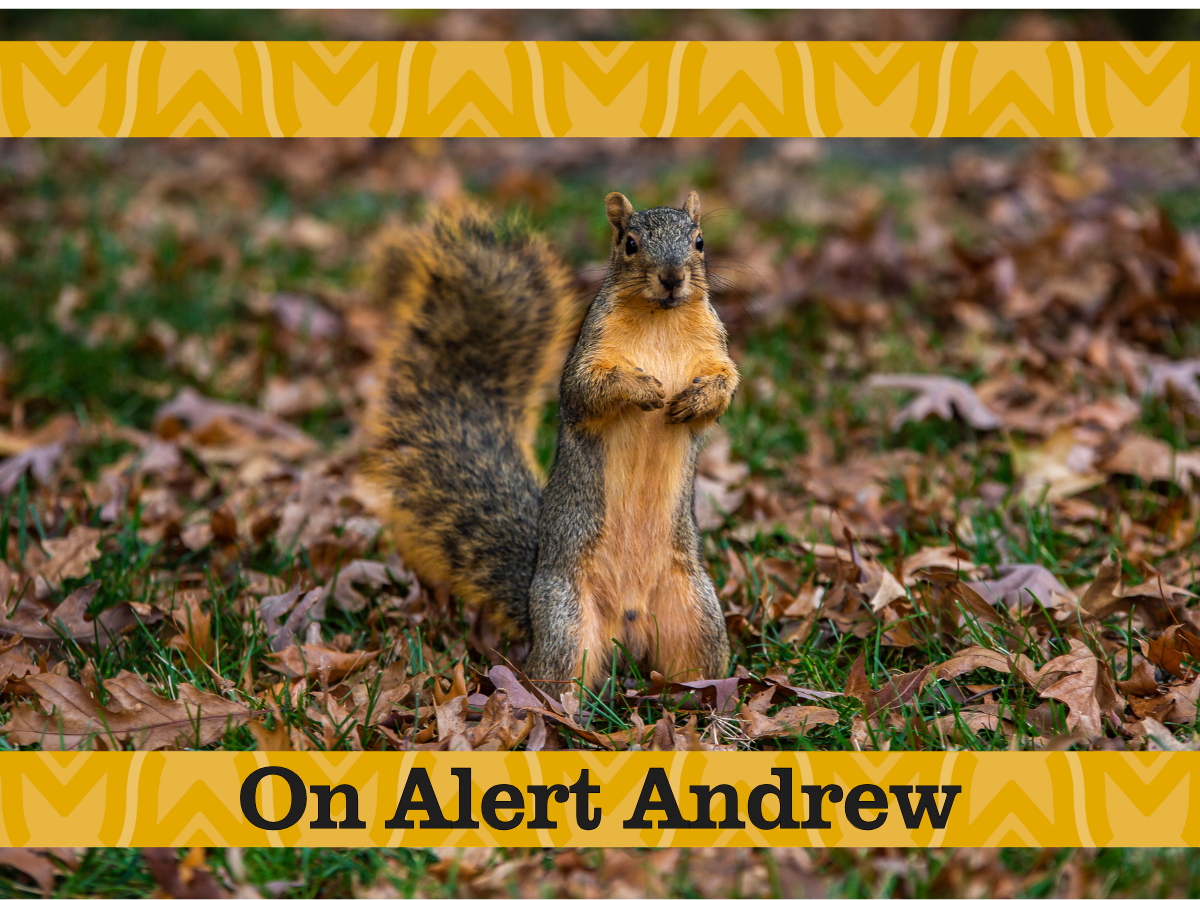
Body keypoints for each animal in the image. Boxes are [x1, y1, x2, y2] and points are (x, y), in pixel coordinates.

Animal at [366, 191, 739, 693]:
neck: (661, 319)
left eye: (699, 242)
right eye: (630, 244)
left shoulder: (715, 349)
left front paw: (697, 399)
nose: (672, 277)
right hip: (567, 623)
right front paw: (641, 389)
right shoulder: (587, 357)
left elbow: (724, 388)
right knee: (557, 676)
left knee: (695, 668)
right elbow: (589, 389)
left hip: (697, 614)